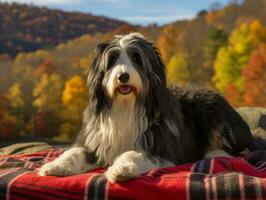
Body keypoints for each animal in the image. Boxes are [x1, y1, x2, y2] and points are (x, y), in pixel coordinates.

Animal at [38, 32, 255, 183]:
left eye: (136, 58)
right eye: (112, 60)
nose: (123, 76)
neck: (126, 106)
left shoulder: (163, 147)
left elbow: (135, 153)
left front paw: (121, 169)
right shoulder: (95, 139)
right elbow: (74, 152)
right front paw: (55, 166)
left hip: (213, 111)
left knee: (235, 148)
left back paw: (213, 153)